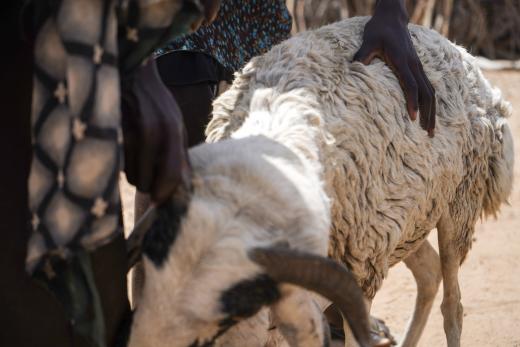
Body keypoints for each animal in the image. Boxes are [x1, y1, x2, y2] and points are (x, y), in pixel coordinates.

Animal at [128, 15, 512, 347]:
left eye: (219, 324)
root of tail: (458, 50)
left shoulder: (359, 272)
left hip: (457, 205)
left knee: (453, 305)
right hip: (407, 213)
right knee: (429, 273)